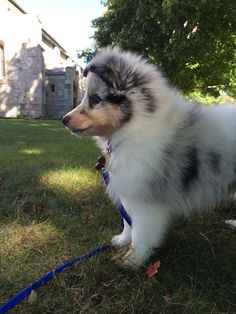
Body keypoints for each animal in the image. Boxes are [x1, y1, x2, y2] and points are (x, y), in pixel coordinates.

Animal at [62, 46, 236, 268]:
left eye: (95, 100)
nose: (63, 119)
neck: (133, 128)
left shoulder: (144, 200)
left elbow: (141, 232)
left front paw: (134, 259)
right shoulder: (129, 190)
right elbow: (128, 222)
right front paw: (122, 241)